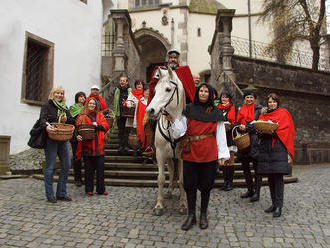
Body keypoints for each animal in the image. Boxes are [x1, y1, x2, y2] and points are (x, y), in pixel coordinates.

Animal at [146, 67, 187, 216]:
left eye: (168, 89)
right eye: (155, 90)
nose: (150, 110)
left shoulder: (182, 158)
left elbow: (182, 180)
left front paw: (183, 204)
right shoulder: (160, 155)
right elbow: (161, 178)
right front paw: (159, 205)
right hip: (169, 158)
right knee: (171, 171)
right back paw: (169, 192)